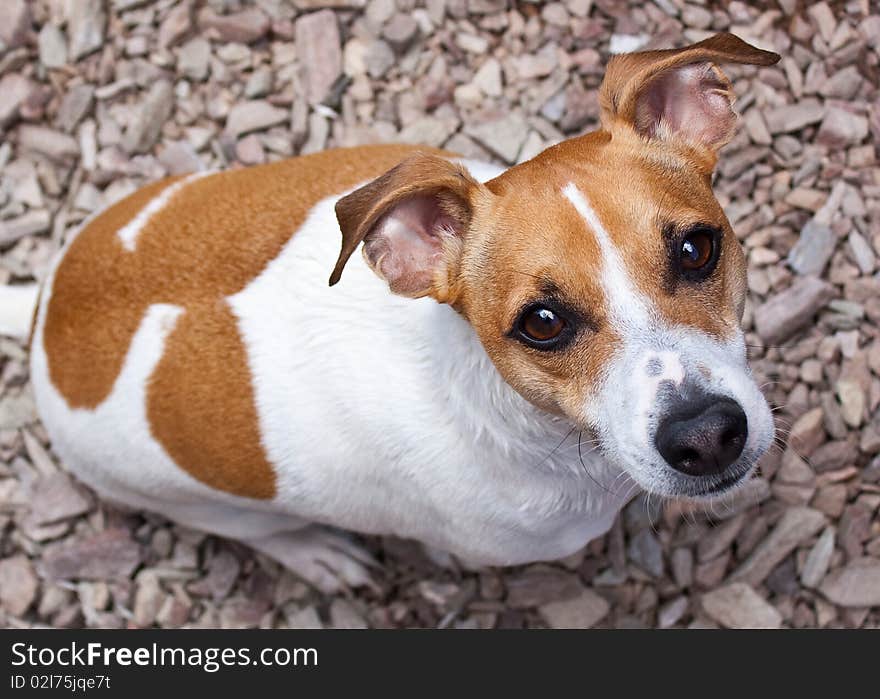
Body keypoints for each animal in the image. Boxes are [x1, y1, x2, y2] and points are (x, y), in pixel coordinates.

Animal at [5, 31, 776, 592]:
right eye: (542, 323)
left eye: (697, 249)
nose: (706, 436)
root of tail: (45, 306)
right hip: (194, 500)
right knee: (259, 531)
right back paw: (317, 552)